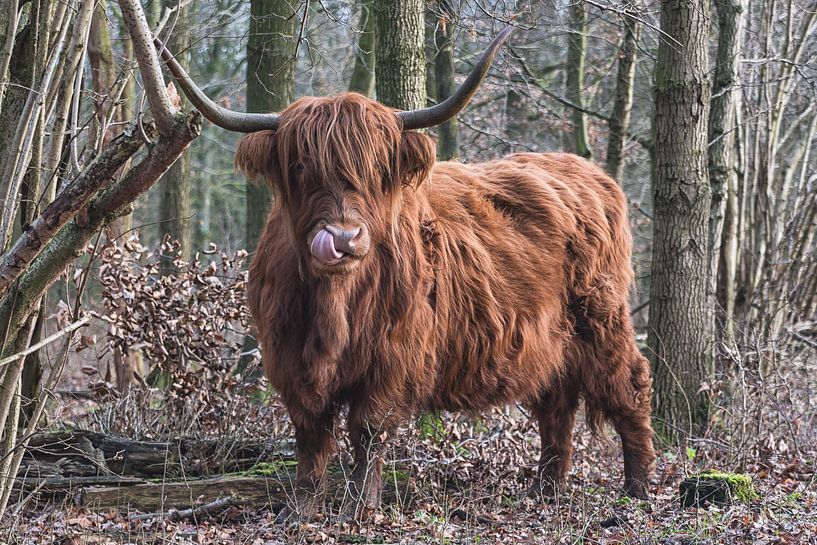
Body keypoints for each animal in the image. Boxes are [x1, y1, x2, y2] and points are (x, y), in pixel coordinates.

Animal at [158, 28, 656, 520]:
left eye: (378, 170)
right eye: (300, 167)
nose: (343, 237)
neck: (332, 305)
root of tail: (589, 173)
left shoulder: (392, 355)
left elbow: (368, 430)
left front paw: (359, 510)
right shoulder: (289, 357)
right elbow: (311, 435)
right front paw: (300, 509)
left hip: (602, 319)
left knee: (629, 386)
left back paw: (637, 490)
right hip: (551, 342)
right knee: (556, 406)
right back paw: (546, 492)